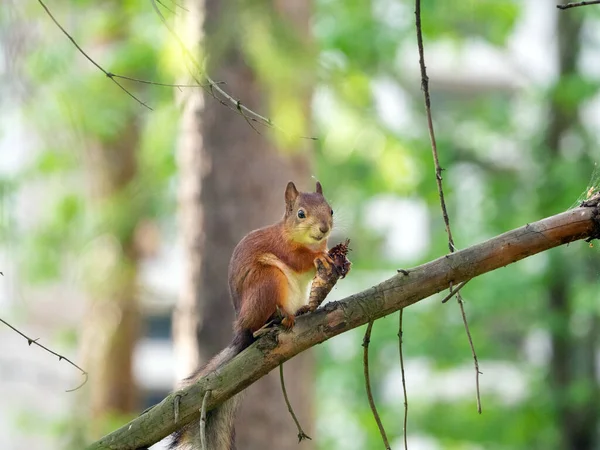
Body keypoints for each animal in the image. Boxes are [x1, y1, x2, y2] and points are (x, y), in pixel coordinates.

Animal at [170, 181, 332, 448]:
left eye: (331, 210)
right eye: (301, 214)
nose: (324, 228)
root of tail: (242, 330)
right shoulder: (282, 247)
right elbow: (298, 260)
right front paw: (319, 257)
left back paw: (301, 310)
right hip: (267, 281)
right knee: (258, 325)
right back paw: (281, 319)